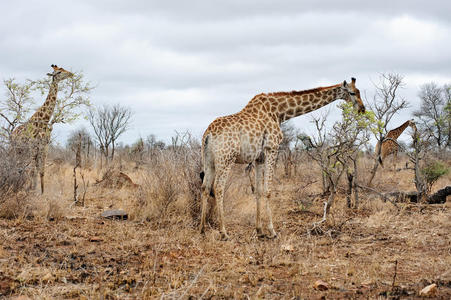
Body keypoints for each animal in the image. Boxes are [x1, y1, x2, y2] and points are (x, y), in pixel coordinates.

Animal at [11, 64, 73, 193]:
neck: (43, 122)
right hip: (15, 148)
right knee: (16, 165)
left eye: (62, 69)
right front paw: (32, 191)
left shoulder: (44, 147)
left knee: (21, 166)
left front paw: (41, 192)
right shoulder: (33, 146)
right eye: (59, 72)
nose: (71, 74)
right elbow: (33, 170)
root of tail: (12, 133)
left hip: (22, 151)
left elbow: (41, 171)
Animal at [201, 78, 368, 240]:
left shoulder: (259, 157)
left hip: (209, 161)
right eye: (352, 93)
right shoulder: (272, 148)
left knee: (205, 187)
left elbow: (259, 191)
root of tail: (208, 134)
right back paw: (224, 232)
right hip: (226, 159)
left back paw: (202, 230)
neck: (279, 112)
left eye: (359, 92)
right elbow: (268, 190)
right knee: (218, 188)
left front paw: (259, 231)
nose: (362, 109)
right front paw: (272, 231)